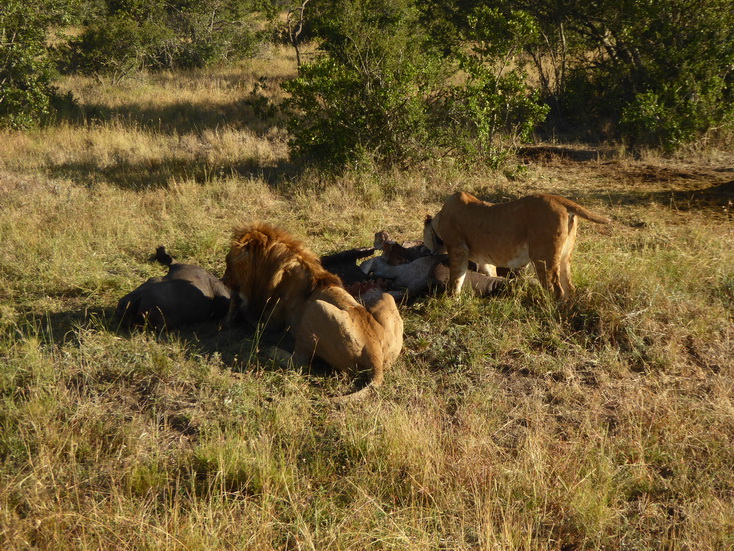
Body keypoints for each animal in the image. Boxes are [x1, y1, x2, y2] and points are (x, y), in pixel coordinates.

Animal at [224, 222, 408, 404]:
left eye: (228, 263)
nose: (224, 281)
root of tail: (374, 352)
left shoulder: (271, 323)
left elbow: (248, 312)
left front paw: (238, 303)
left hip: (315, 309)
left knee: (298, 362)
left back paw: (271, 350)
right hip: (385, 298)